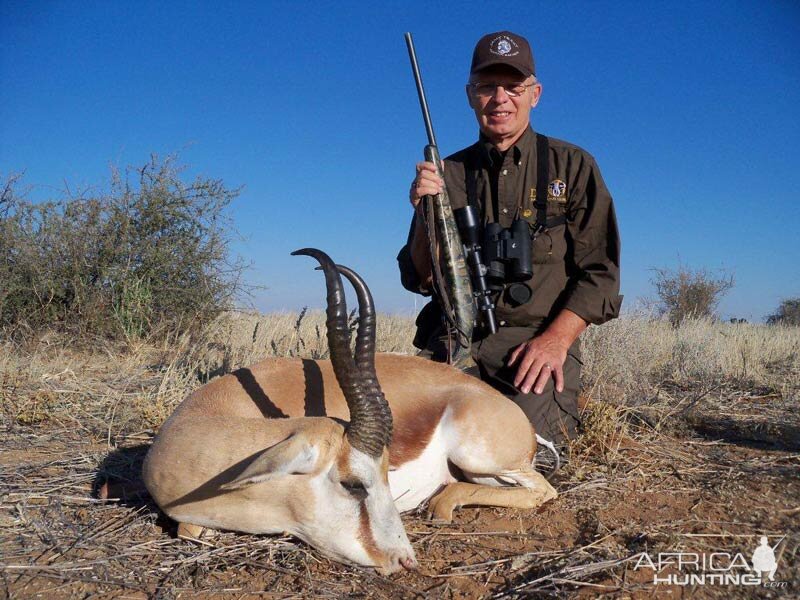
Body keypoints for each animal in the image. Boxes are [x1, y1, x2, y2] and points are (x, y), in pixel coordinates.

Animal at [144, 247, 556, 572]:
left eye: (385, 474)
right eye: (353, 483)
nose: (405, 559)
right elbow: (190, 529)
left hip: (479, 458)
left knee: (545, 491)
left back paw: (440, 506)